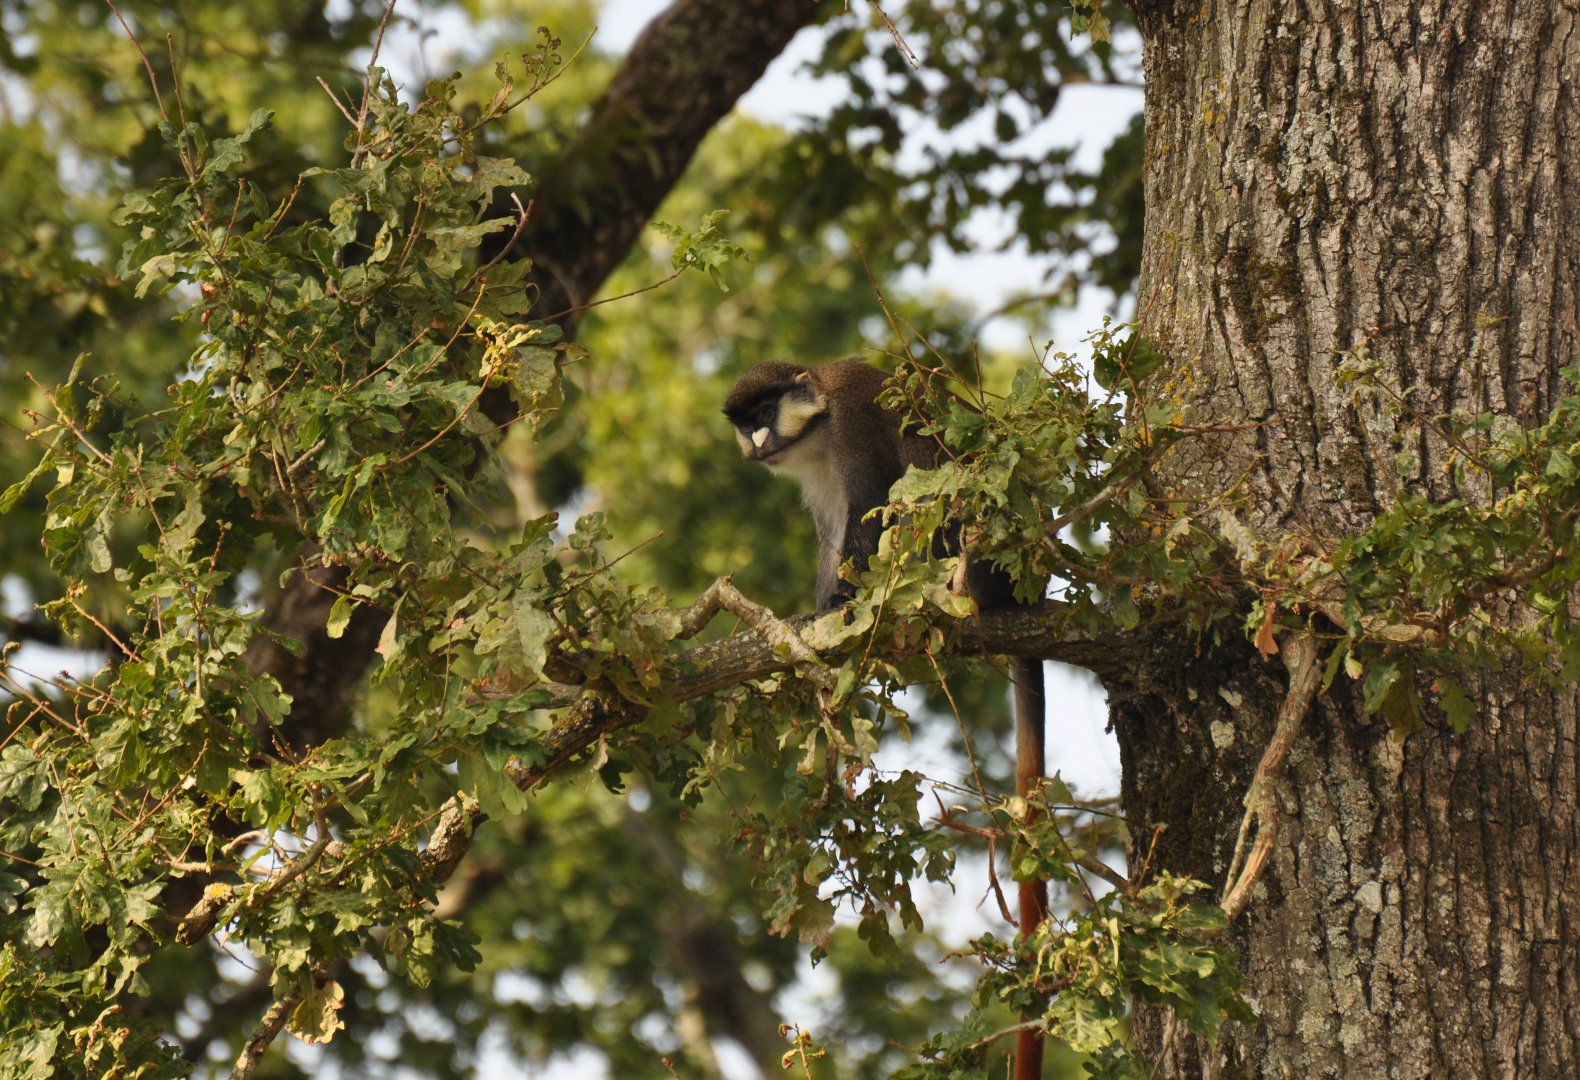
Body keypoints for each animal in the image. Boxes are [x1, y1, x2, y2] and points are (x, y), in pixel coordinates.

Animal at [723, 358, 1050, 1080]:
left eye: (763, 415)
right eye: (745, 424)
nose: (755, 446)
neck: (814, 428)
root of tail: (1023, 589)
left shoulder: (854, 427)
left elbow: (873, 516)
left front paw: (840, 611)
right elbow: (832, 542)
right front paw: (814, 612)